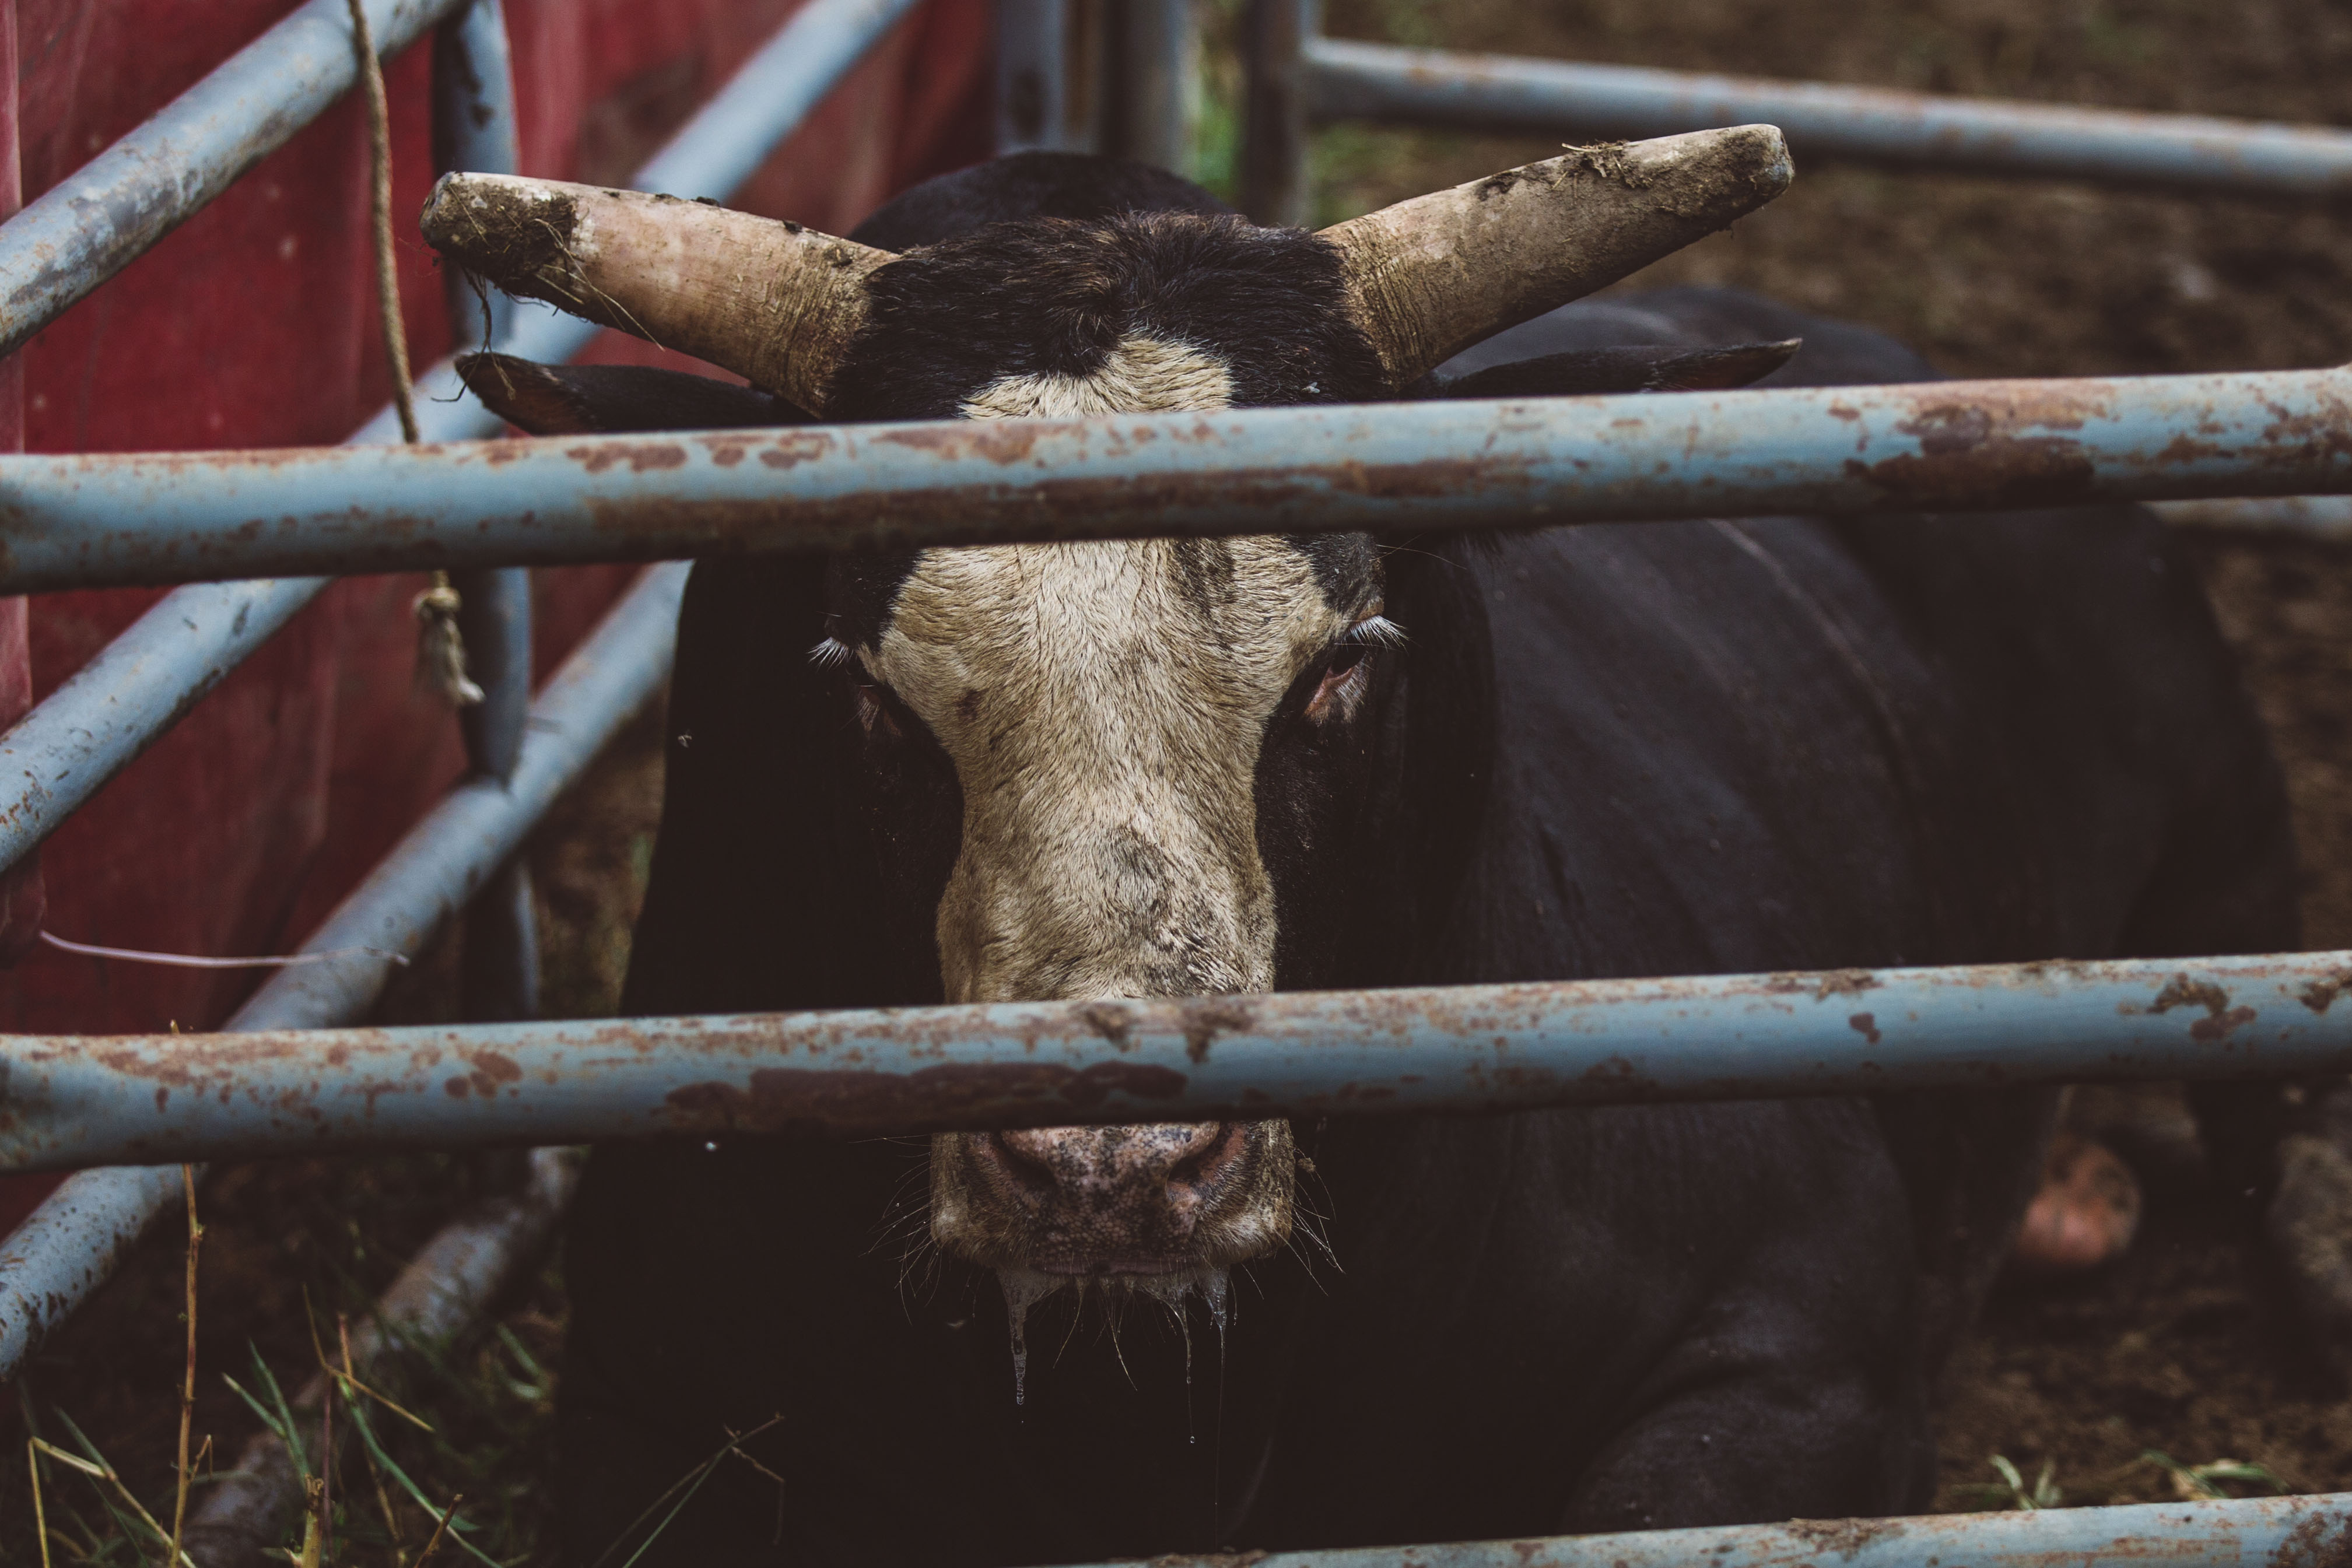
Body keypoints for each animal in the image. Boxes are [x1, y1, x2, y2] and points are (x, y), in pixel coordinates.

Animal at [422, 141, 2308, 1565]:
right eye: (865, 690)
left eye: (1344, 662)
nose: (1111, 1172)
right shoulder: (645, 1403)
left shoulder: (1794, 1357)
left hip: (2230, 837)